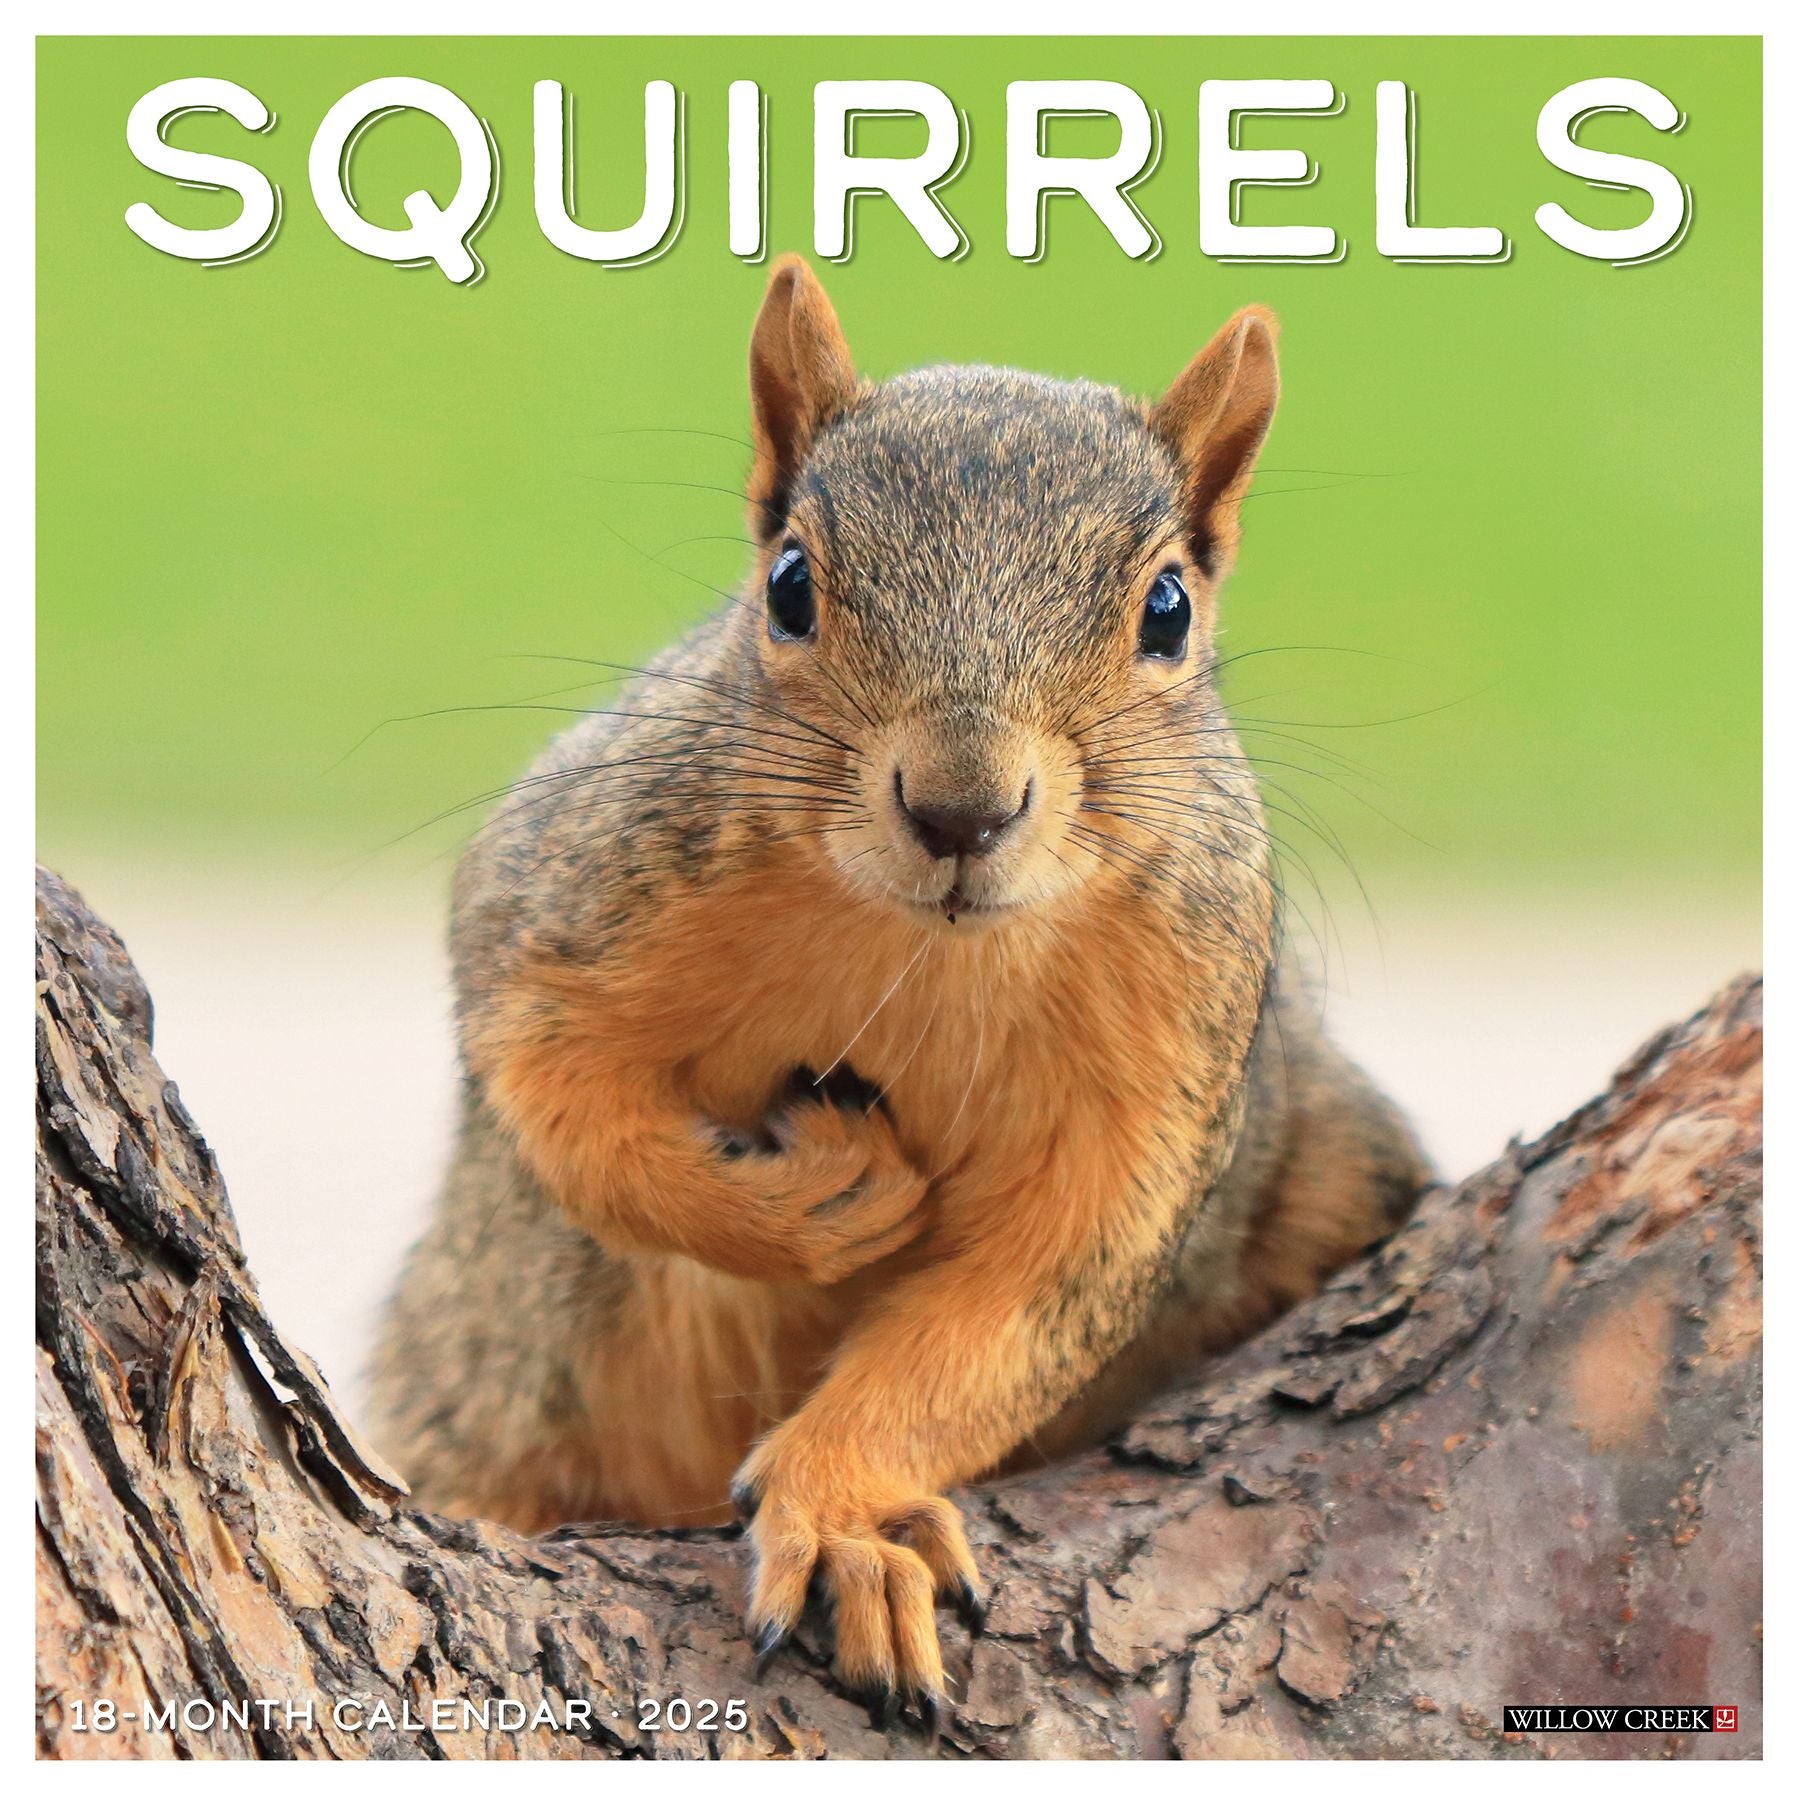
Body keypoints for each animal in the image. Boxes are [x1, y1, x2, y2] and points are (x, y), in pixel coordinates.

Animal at [369, 255, 1430, 1733]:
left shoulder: (1166, 1076)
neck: (925, 953)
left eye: (1167, 612)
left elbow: (1014, 1311)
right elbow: (561, 1108)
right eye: (789, 586)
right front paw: (809, 1202)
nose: (960, 810)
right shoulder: (566, 896)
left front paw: (848, 1518)